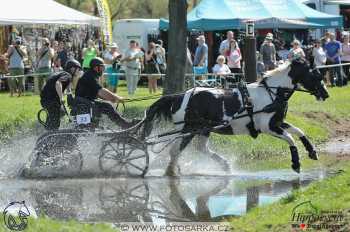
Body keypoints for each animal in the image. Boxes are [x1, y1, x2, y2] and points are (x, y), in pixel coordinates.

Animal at [144, 59, 330, 176]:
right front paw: (296, 163)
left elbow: (299, 131)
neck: (272, 93)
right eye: (316, 75)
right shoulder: (268, 127)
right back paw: (171, 171)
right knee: (175, 150)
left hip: (203, 130)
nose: (326, 94)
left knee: (199, 148)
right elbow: (290, 138)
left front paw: (312, 151)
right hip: (189, 128)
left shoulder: (277, 122)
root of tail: (181, 96)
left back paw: (224, 165)